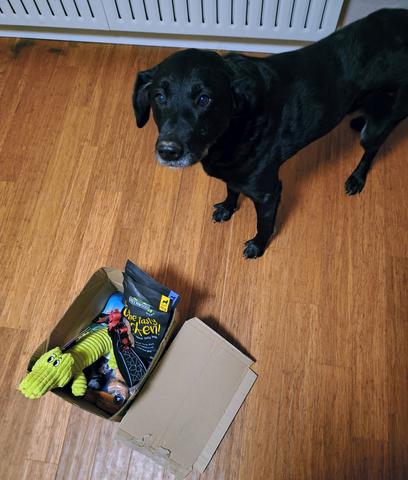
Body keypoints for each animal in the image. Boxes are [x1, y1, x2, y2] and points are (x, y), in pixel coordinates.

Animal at [133, 8, 408, 258]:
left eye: (204, 99)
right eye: (159, 96)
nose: (168, 151)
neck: (230, 131)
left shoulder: (268, 192)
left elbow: (264, 225)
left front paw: (258, 246)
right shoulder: (234, 173)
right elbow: (231, 190)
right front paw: (227, 209)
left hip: (378, 126)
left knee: (372, 150)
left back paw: (356, 179)